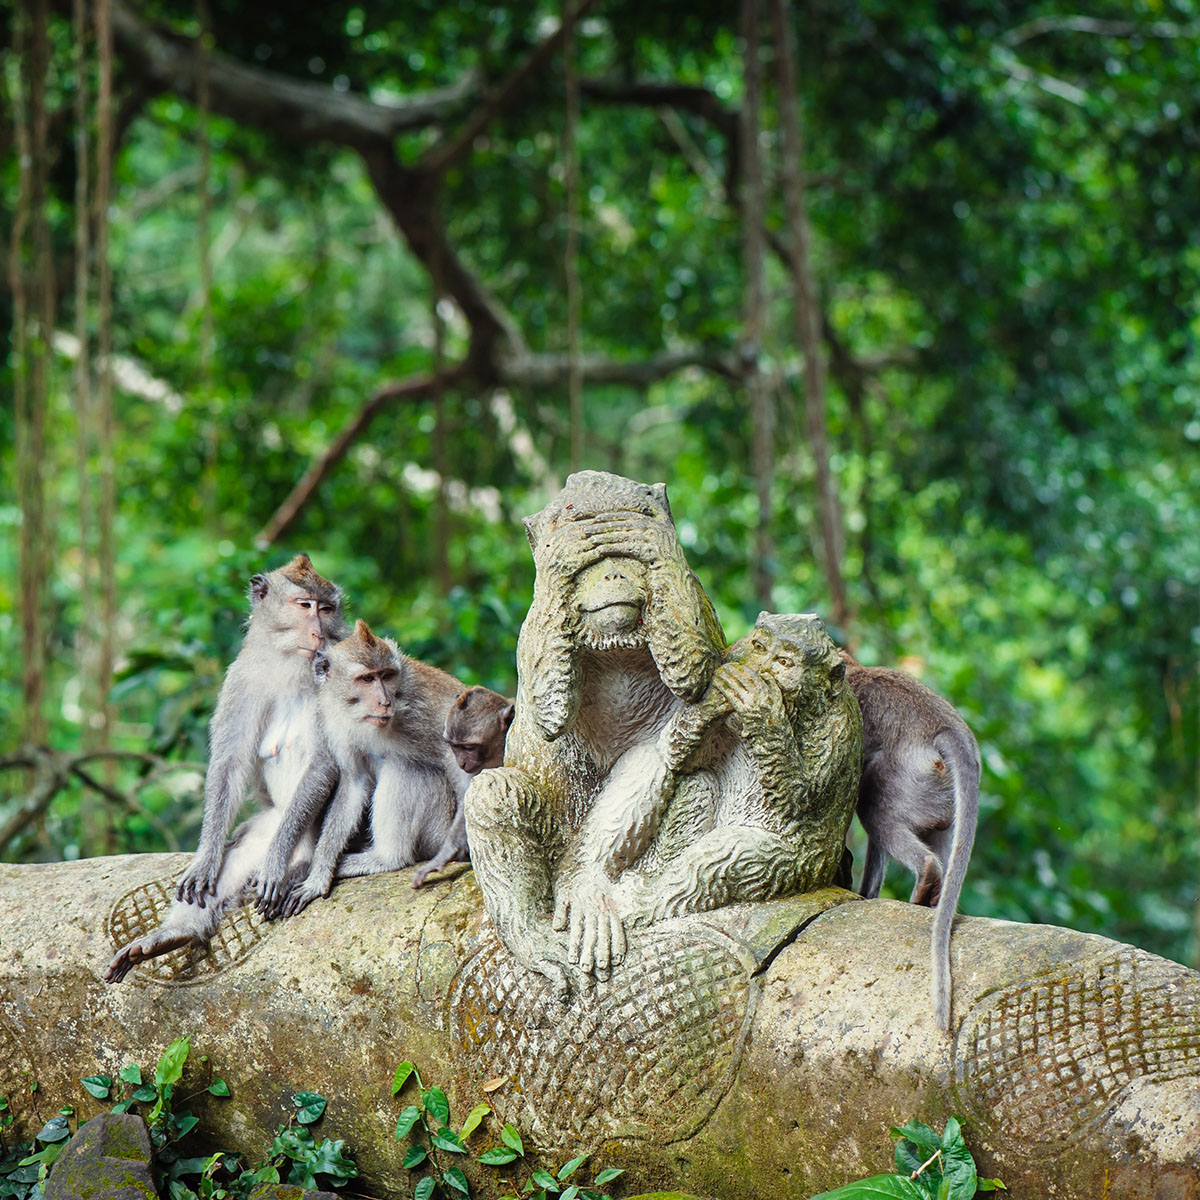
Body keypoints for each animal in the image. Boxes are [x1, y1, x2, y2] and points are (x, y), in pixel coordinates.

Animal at [103, 554, 348, 984]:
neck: (292, 666)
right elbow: (229, 765)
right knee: (239, 853)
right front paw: (205, 859)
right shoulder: (241, 678)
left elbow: (324, 762)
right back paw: (173, 934)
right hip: (268, 822)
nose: (319, 632)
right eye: (305, 605)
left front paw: (275, 864)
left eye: (327, 609)